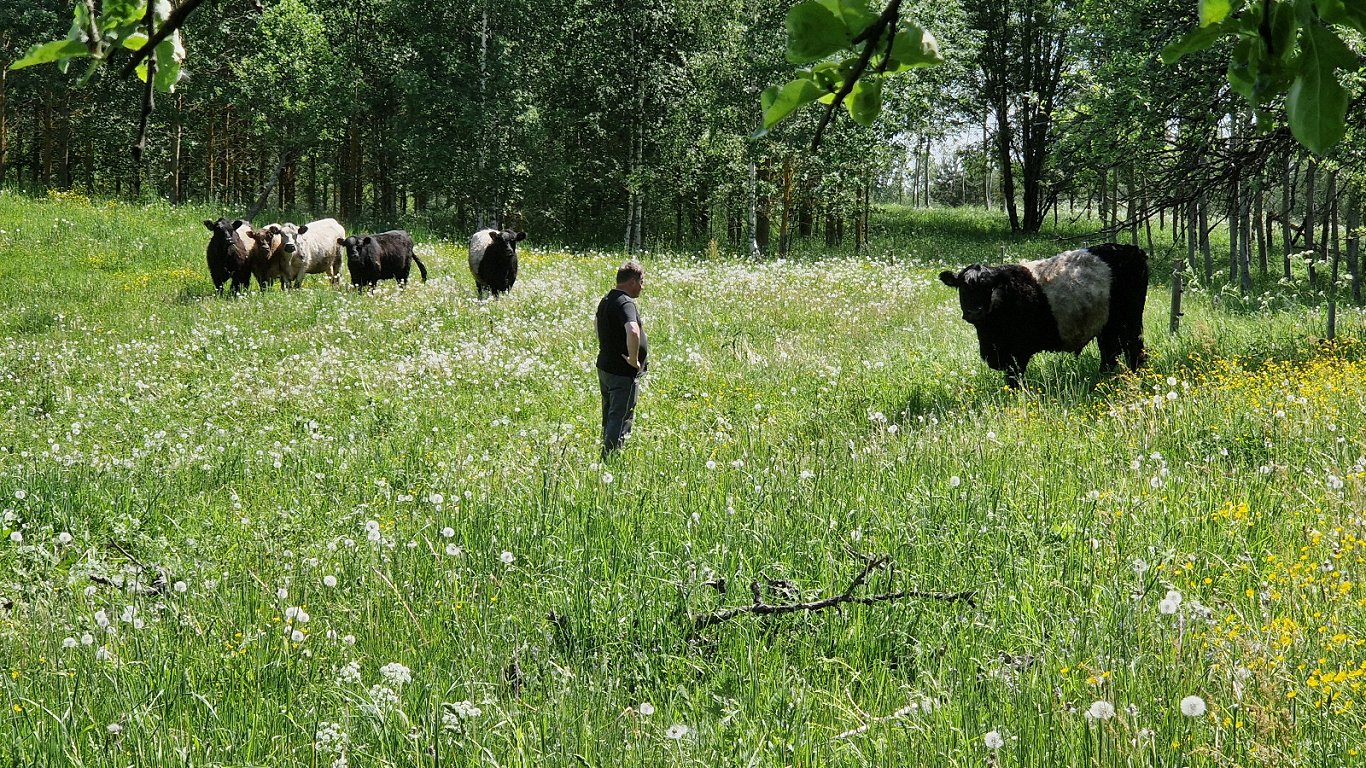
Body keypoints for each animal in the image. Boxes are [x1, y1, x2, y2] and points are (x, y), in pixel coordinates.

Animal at [934, 244, 1147, 385]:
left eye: (988, 288)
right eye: (962, 288)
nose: (974, 312)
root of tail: (1132, 249)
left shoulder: (1019, 351)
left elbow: (1014, 380)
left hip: (1130, 322)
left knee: (1133, 349)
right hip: (1107, 325)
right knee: (1110, 352)